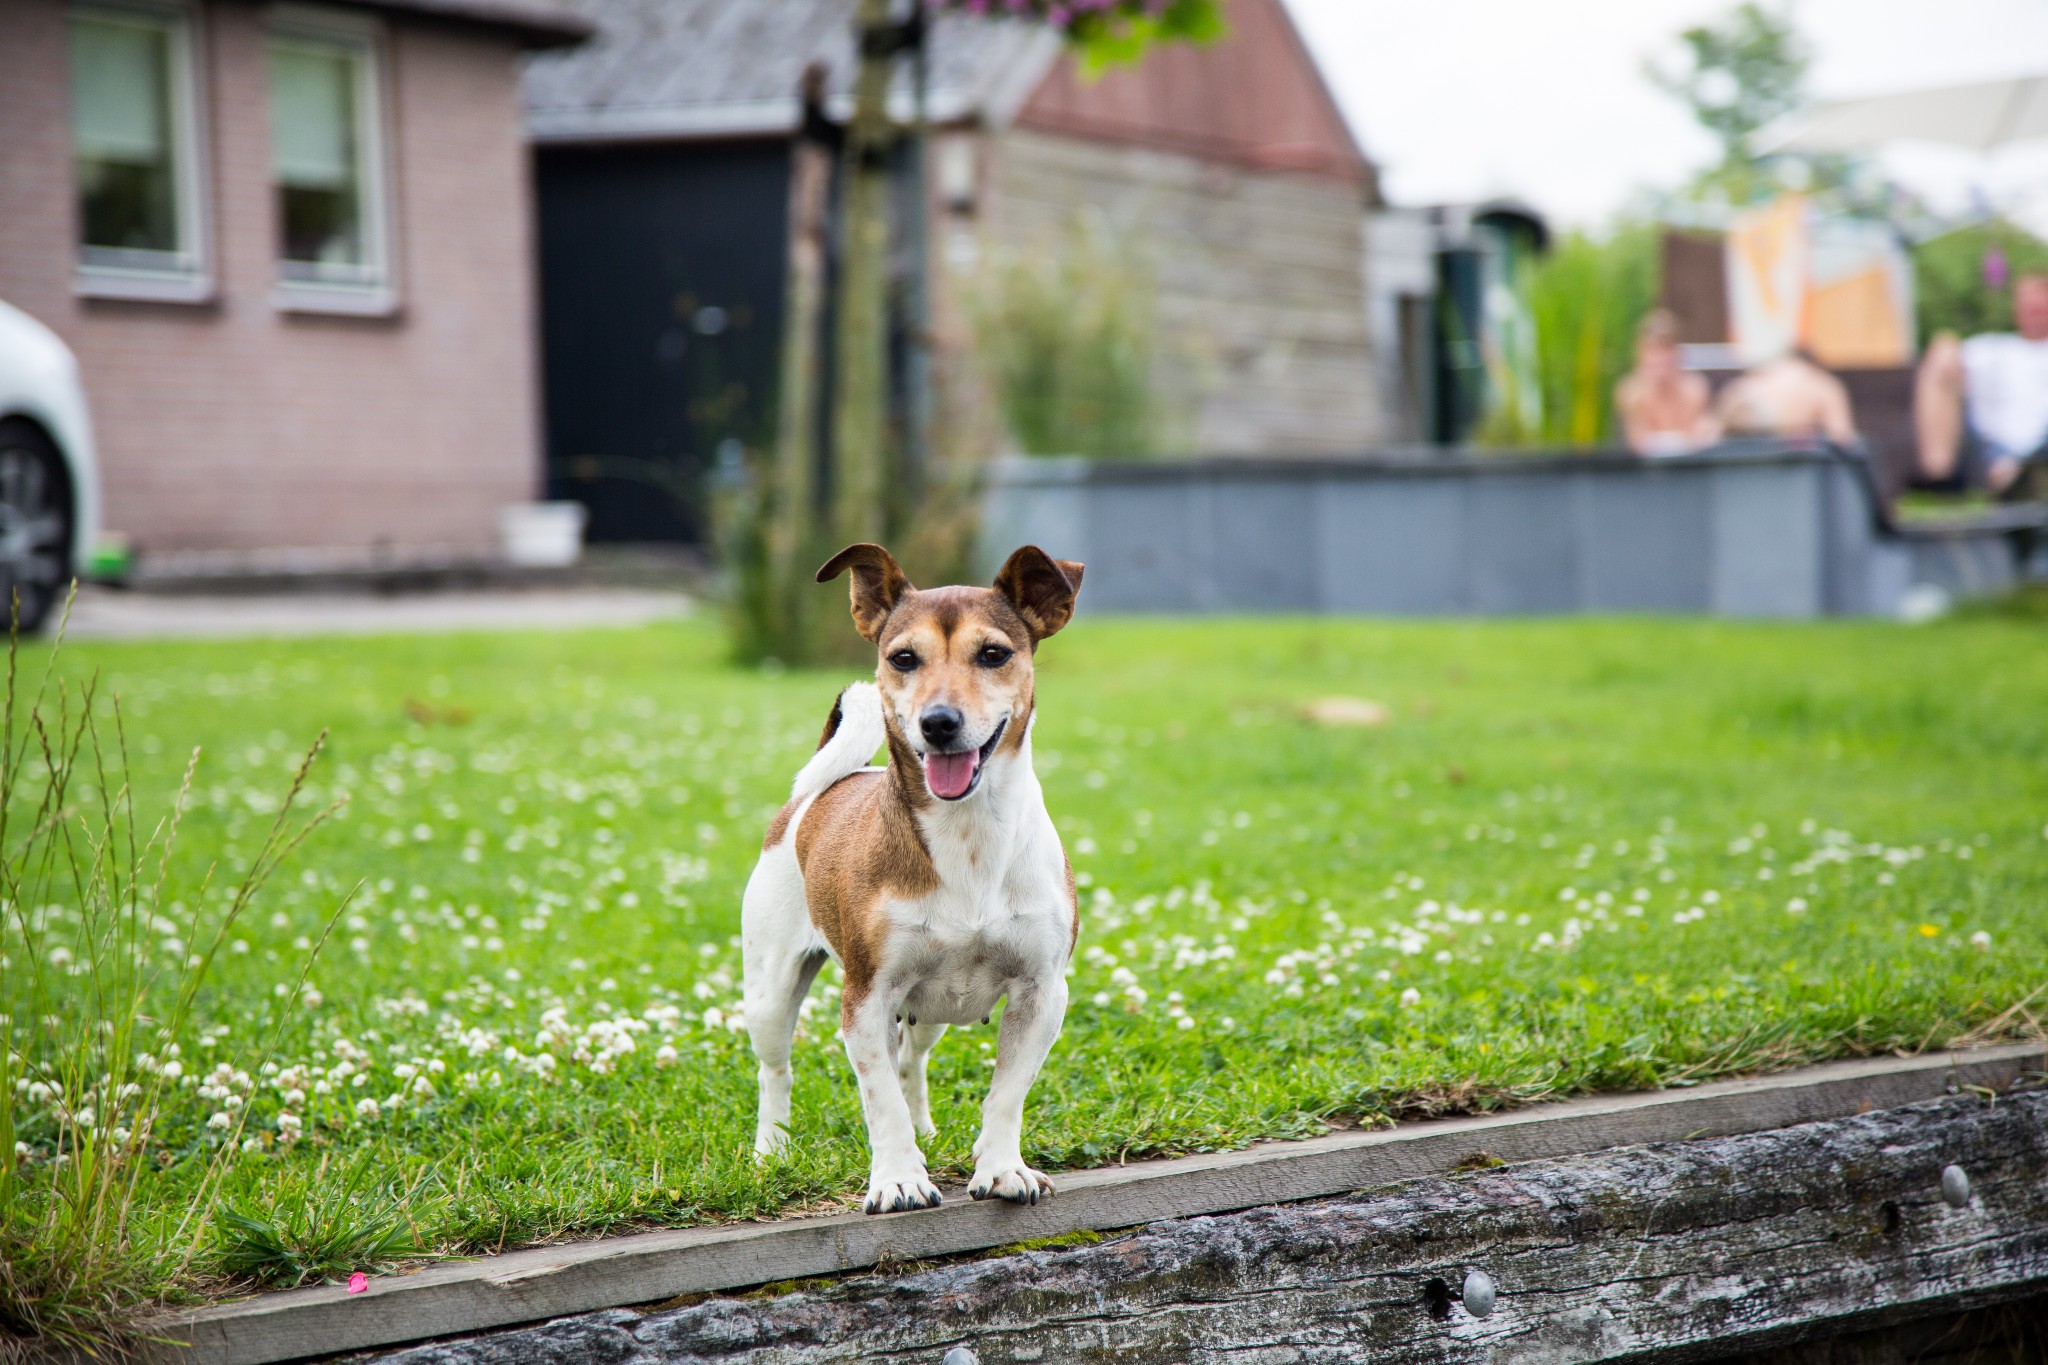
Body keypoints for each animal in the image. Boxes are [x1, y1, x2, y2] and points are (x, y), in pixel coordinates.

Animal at [741, 544, 1089, 1219]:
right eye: (903, 657)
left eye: (993, 654)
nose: (939, 722)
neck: (968, 836)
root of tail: (820, 790)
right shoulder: (867, 999)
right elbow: (881, 1103)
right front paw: (898, 1178)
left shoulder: (1041, 994)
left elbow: (1005, 1094)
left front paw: (1002, 1168)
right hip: (771, 990)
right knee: (777, 1072)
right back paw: (773, 1150)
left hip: (930, 1009)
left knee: (912, 1060)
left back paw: (929, 1129)